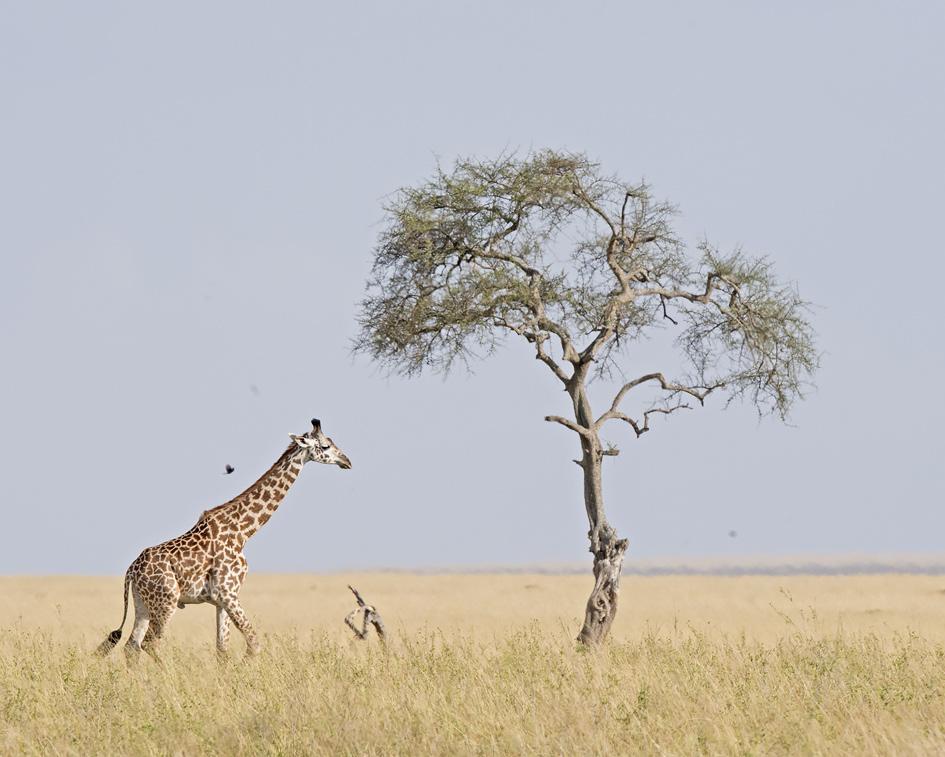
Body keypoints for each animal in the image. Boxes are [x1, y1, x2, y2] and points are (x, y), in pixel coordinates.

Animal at [96, 416, 350, 660]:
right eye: (325, 445)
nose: (347, 461)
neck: (244, 531)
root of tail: (131, 570)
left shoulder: (221, 599)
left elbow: (222, 649)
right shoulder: (227, 592)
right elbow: (254, 644)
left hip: (142, 603)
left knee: (132, 646)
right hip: (166, 601)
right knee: (150, 644)